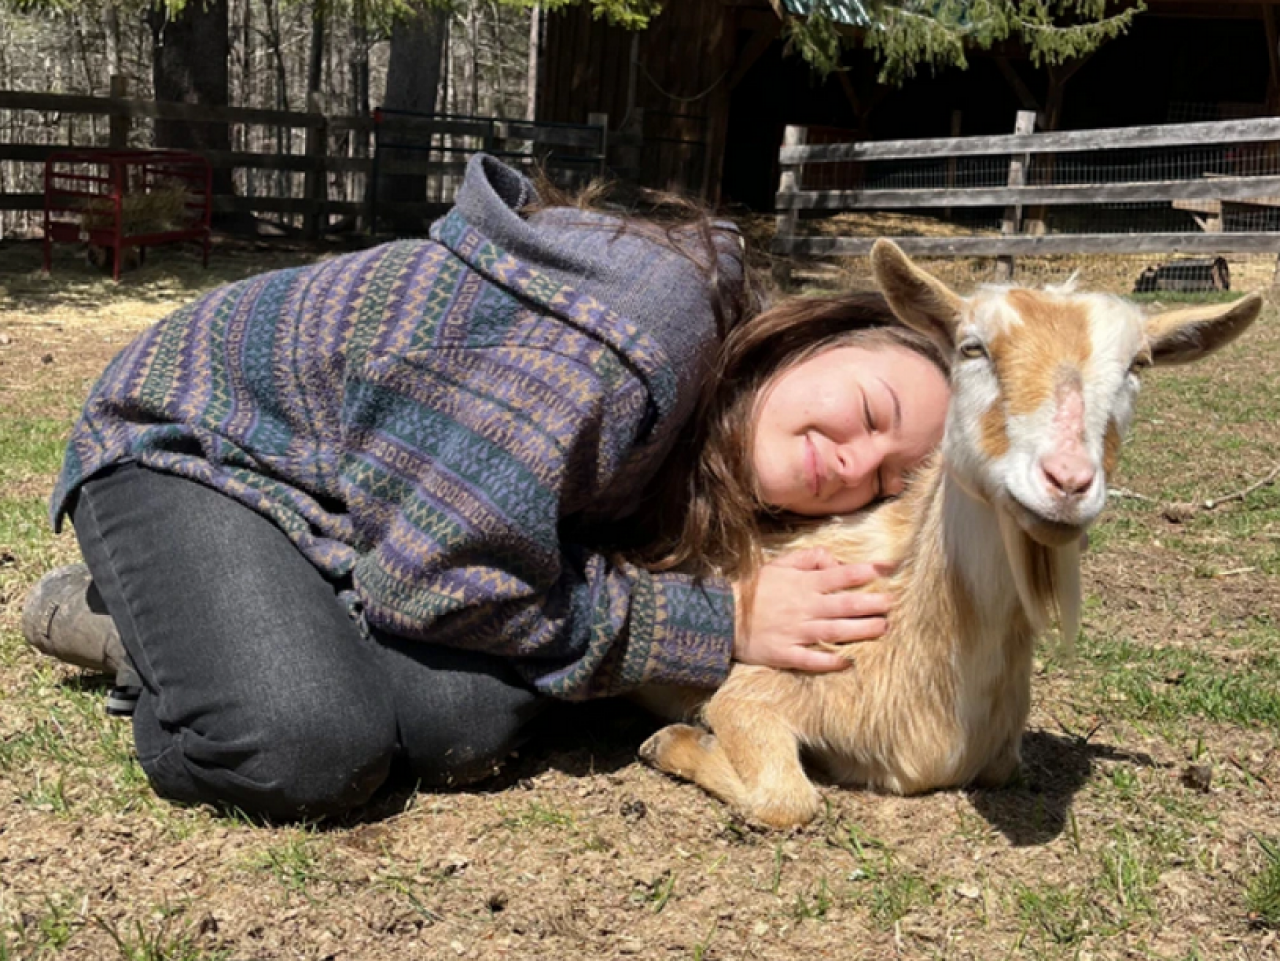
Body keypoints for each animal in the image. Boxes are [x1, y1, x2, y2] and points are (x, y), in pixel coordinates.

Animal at [639, 239, 1263, 829]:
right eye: (972, 347)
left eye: (1138, 364)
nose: (1067, 480)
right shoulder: (756, 687)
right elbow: (785, 798)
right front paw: (671, 740)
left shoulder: (1000, 755)